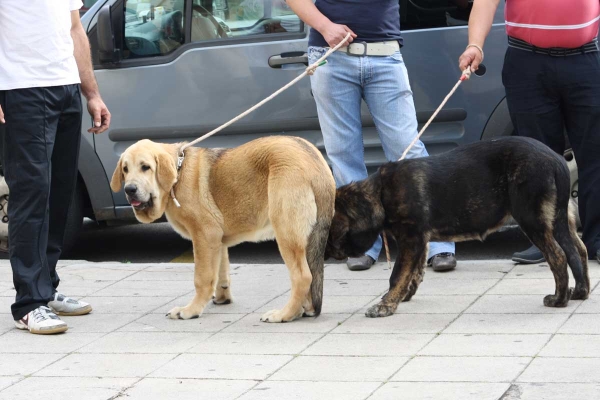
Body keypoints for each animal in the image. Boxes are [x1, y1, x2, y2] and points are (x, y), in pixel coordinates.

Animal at [110, 136, 336, 324]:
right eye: (125, 169)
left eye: (145, 167)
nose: (129, 189)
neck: (178, 173)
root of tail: (316, 164)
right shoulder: (217, 241)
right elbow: (220, 272)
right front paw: (221, 298)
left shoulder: (204, 235)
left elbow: (202, 278)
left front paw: (191, 310)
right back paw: (303, 309)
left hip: (286, 233)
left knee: (303, 277)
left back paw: (285, 314)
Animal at [326, 138, 588, 318]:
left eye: (331, 228)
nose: (326, 253)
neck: (381, 192)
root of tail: (557, 160)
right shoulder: (420, 240)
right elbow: (414, 272)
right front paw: (403, 296)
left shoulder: (410, 239)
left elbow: (397, 274)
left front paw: (385, 305)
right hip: (560, 220)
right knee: (578, 250)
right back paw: (580, 291)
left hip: (533, 220)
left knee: (558, 256)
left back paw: (559, 299)